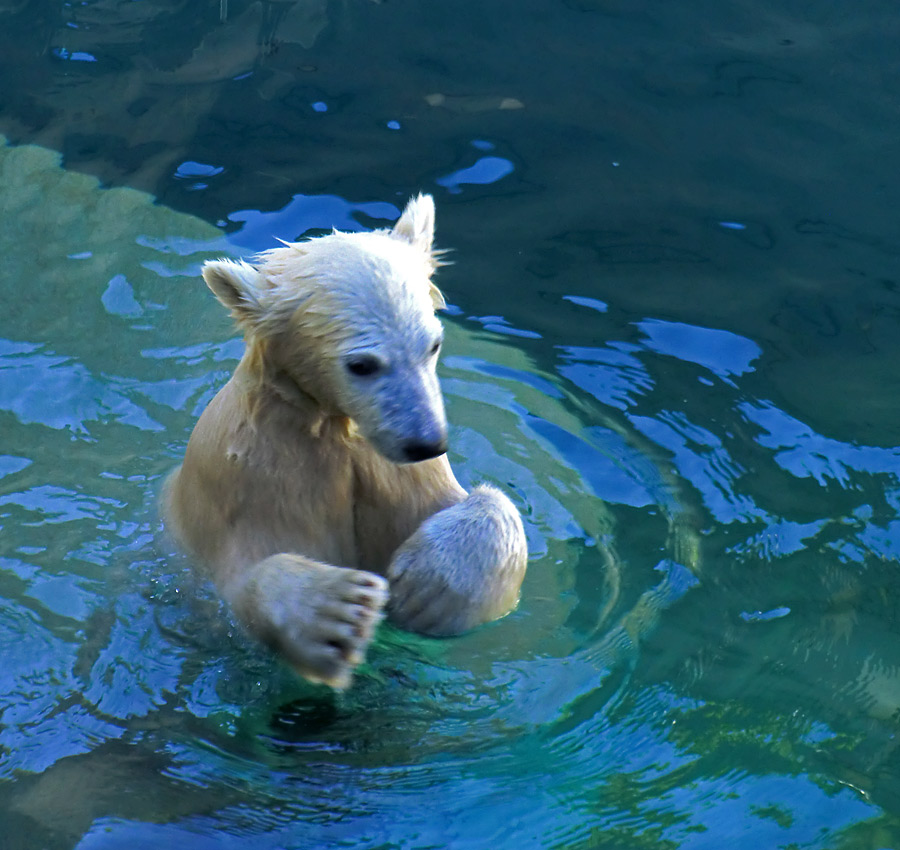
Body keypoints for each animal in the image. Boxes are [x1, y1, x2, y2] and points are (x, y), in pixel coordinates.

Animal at [165, 195, 528, 684]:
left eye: (432, 344)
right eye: (362, 364)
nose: (426, 442)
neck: (332, 429)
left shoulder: (394, 476)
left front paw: (428, 590)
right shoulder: (250, 481)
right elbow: (244, 577)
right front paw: (339, 612)